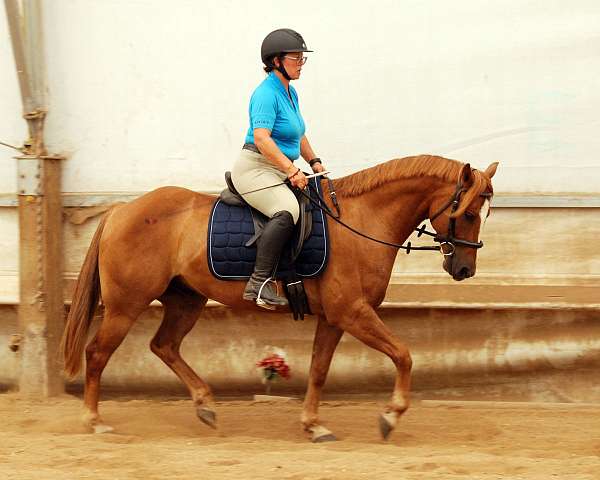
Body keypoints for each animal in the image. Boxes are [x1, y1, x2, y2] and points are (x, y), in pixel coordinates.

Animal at [63, 156, 500, 440]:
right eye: (468, 213)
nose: (465, 269)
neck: (361, 221)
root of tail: (121, 210)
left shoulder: (335, 318)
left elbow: (320, 369)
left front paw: (313, 425)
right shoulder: (354, 313)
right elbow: (404, 355)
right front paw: (390, 416)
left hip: (186, 301)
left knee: (164, 345)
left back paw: (205, 406)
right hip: (125, 306)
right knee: (98, 354)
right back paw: (93, 420)